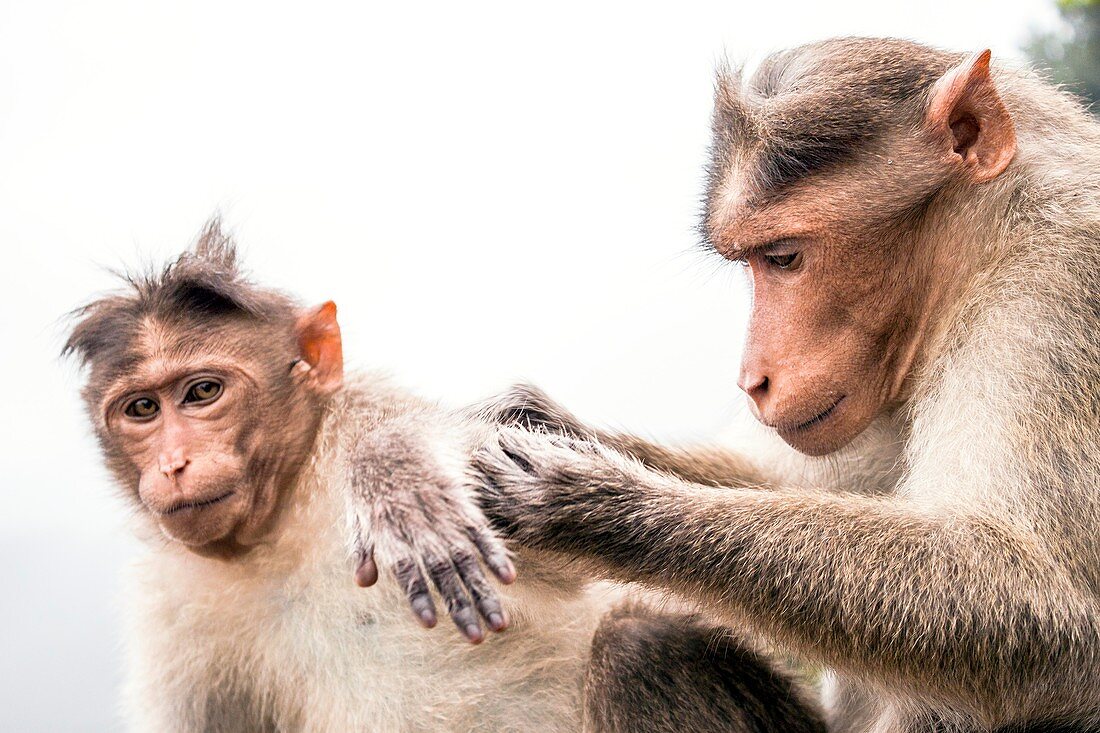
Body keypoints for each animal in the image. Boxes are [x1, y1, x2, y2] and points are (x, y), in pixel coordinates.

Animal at [64, 222, 822, 730]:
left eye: (202, 393)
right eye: (142, 409)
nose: (174, 462)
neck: (279, 526)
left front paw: (396, 472)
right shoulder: (175, 612)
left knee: (648, 644)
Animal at [442, 38, 1100, 730]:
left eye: (783, 258)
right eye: (751, 261)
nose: (750, 380)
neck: (977, 256)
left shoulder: (1054, 292)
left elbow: (1034, 595)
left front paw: (584, 499)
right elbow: (779, 477)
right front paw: (529, 417)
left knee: (638, 644)